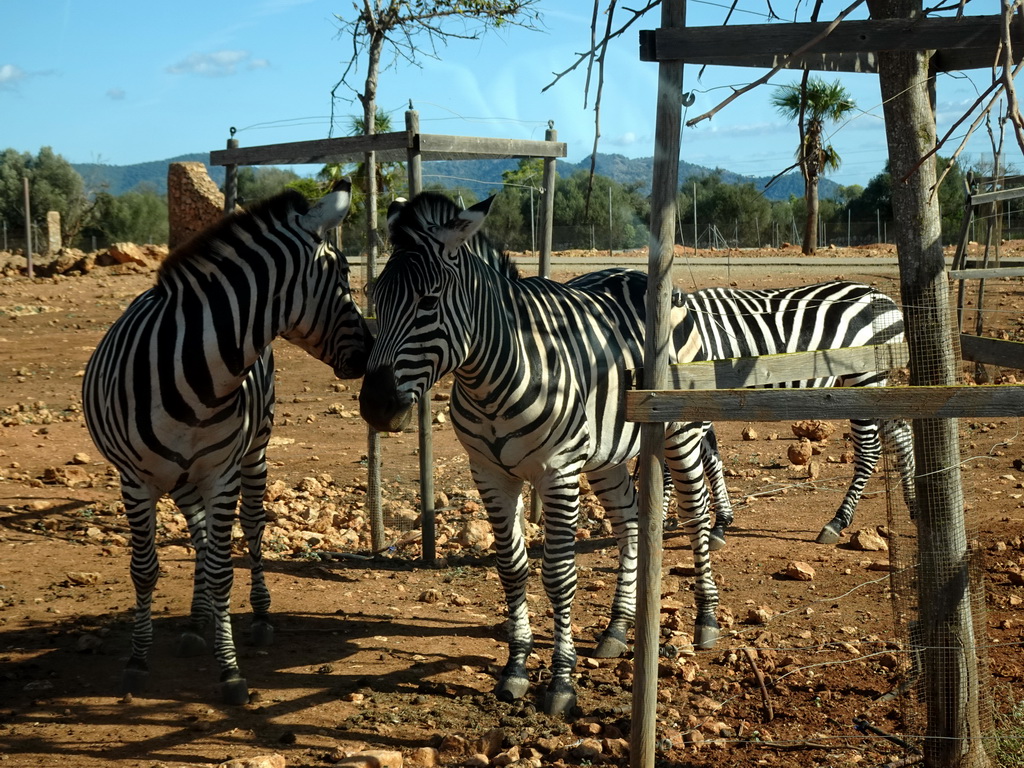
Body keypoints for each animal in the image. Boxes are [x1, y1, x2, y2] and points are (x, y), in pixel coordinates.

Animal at [82, 179, 372, 704]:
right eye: (342, 273)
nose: (370, 354)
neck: (197, 375)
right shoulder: (134, 480)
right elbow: (145, 569)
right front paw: (137, 661)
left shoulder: (222, 473)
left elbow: (222, 570)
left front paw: (231, 670)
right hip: (180, 477)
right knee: (198, 536)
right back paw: (196, 622)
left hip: (253, 452)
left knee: (252, 528)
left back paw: (257, 616)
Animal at [360, 191, 720, 716]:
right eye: (374, 298)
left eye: (428, 301)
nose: (375, 406)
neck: (489, 379)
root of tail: (638, 275)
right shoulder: (489, 473)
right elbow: (512, 567)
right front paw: (514, 669)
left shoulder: (558, 472)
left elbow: (559, 574)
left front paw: (562, 683)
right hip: (609, 453)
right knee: (630, 522)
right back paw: (617, 629)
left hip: (682, 430)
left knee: (696, 515)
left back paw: (706, 621)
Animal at [671, 280, 921, 548]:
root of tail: (884, 297)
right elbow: (710, 459)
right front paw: (719, 523)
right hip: (868, 385)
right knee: (902, 433)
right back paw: (914, 507)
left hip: (864, 379)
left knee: (870, 449)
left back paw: (837, 522)